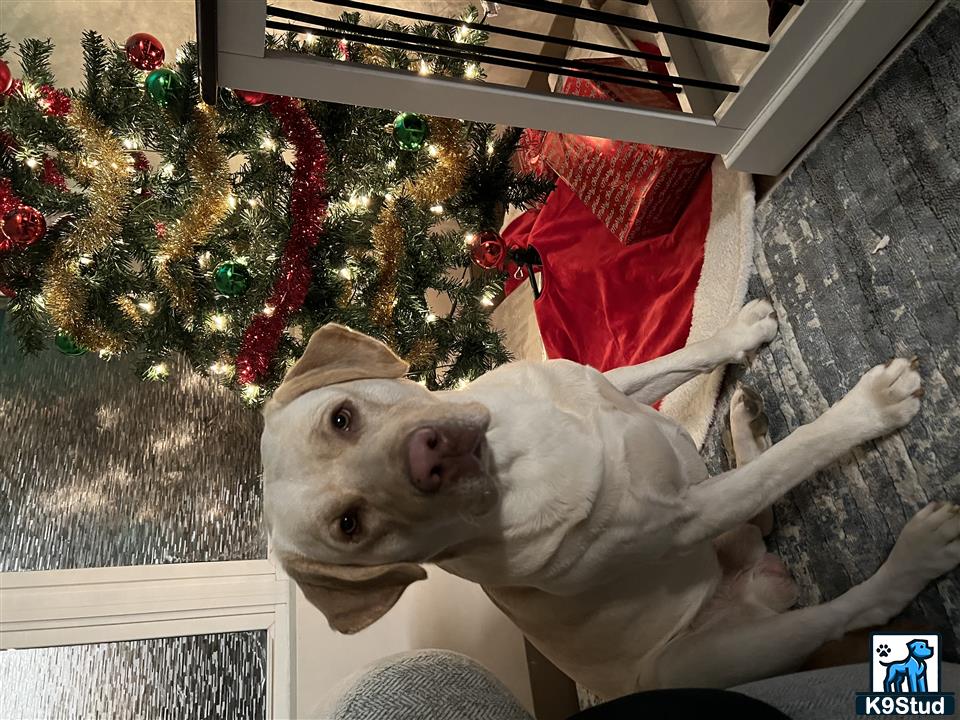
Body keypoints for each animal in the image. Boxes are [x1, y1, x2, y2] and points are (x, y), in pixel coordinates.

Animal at [262, 300, 960, 700]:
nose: (428, 458)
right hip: (711, 656)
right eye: (350, 524)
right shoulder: (687, 516)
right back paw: (916, 554)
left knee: (760, 512)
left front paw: (740, 330)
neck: (515, 459)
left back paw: (744, 418)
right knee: (846, 608)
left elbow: (681, 357)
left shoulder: (611, 384)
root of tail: (761, 581)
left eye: (342, 418)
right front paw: (869, 409)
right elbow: (798, 454)